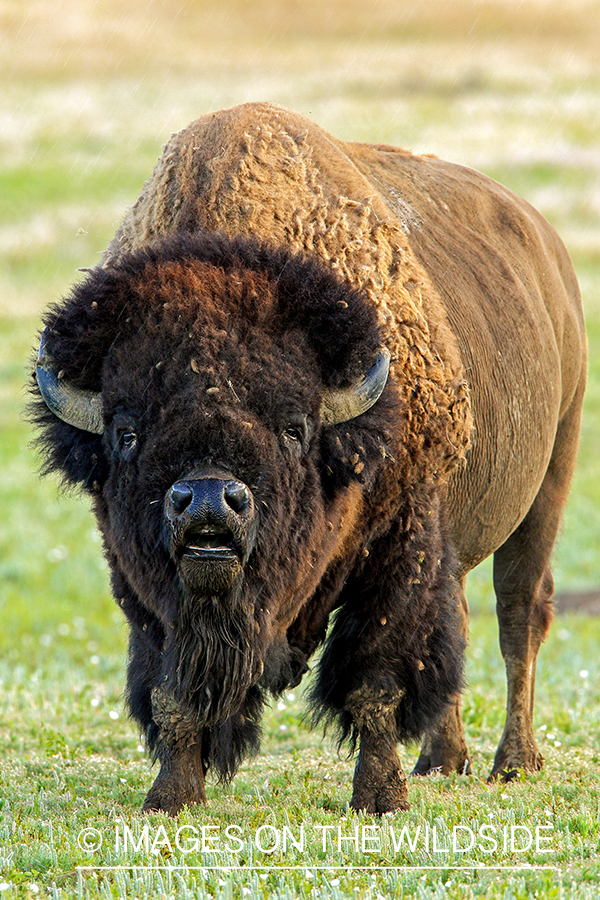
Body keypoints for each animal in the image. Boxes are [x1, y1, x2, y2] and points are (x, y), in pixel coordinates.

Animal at [32, 102, 586, 816]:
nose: (207, 502)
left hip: (550, 479)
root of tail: (549, 250)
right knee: (462, 620)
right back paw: (442, 760)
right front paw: (171, 798)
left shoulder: (398, 547)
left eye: (295, 428)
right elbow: (171, 691)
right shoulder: (144, 587)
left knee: (520, 614)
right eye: (126, 431)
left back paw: (512, 764)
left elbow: (376, 681)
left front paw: (380, 798)